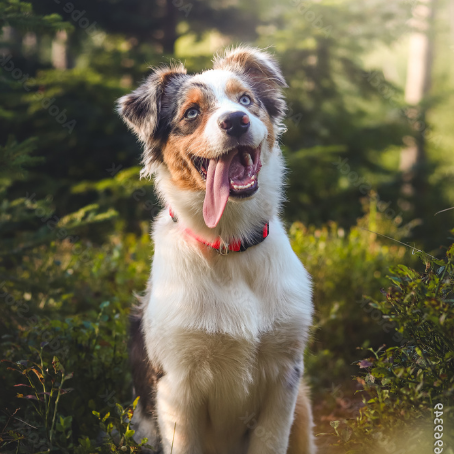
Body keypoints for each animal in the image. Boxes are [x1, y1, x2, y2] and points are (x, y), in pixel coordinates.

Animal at [117, 46, 316, 454]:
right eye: (192, 112)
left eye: (246, 100)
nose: (237, 121)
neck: (231, 246)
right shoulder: (176, 388)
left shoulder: (285, 376)